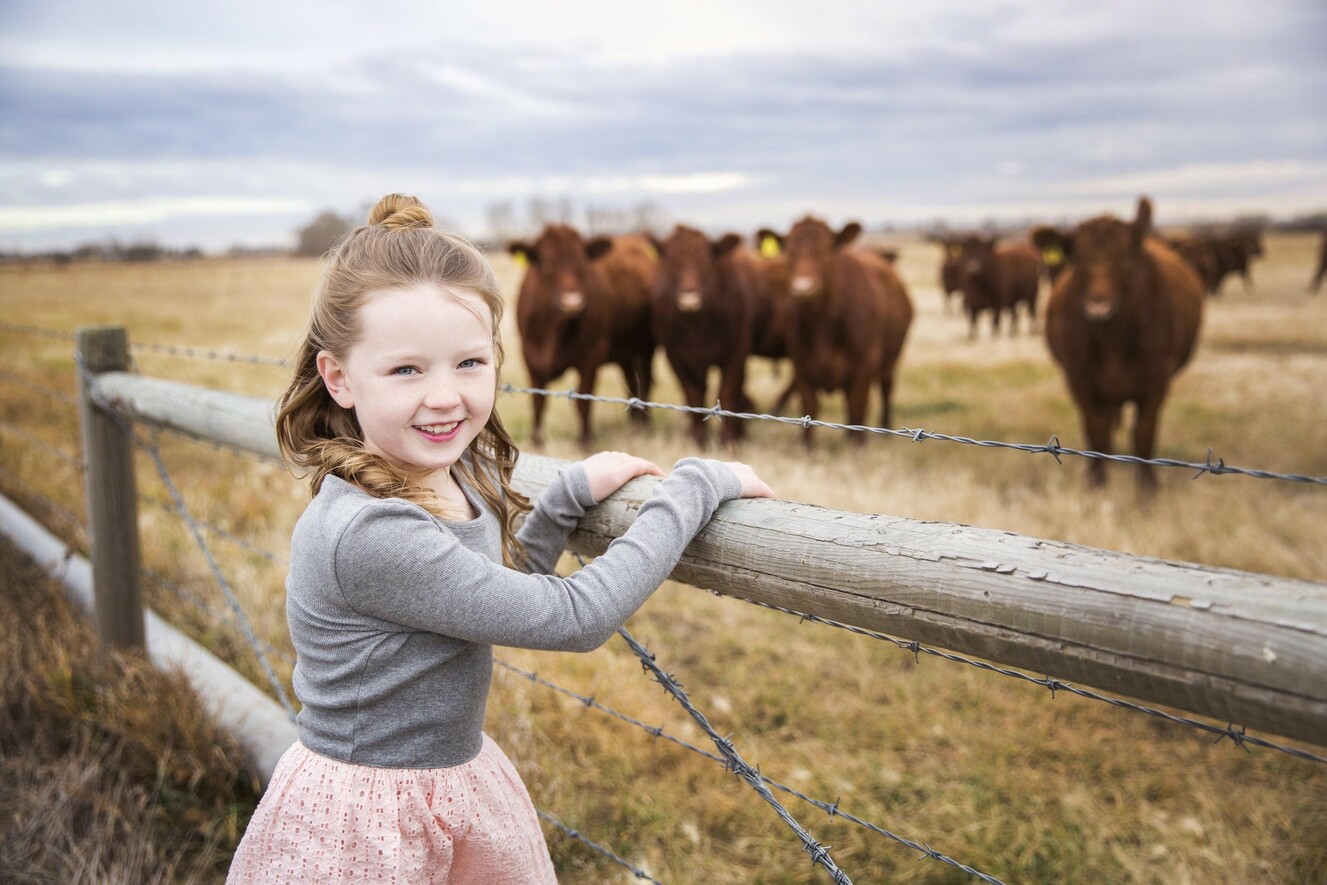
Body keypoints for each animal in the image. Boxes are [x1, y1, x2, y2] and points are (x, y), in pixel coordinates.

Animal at [504, 226, 655, 451]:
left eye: (583, 261)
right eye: (545, 262)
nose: (572, 303)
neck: (553, 330)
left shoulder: (591, 356)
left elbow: (583, 400)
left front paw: (585, 441)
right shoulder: (530, 355)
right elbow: (538, 400)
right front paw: (536, 440)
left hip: (644, 350)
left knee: (644, 383)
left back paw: (642, 426)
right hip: (626, 353)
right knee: (632, 382)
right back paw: (634, 422)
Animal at [759, 217, 912, 445]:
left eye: (826, 250)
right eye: (789, 252)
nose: (804, 288)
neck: (824, 325)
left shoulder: (863, 368)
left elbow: (857, 408)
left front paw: (857, 445)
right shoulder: (802, 366)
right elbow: (810, 406)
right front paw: (807, 446)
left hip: (890, 360)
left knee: (885, 390)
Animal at [1040, 197, 1210, 490]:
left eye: (1126, 258)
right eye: (1077, 259)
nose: (1098, 307)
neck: (1113, 339)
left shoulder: (1156, 381)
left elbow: (1143, 434)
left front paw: (1147, 488)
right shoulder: (1079, 380)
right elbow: (1095, 431)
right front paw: (1096, 482)